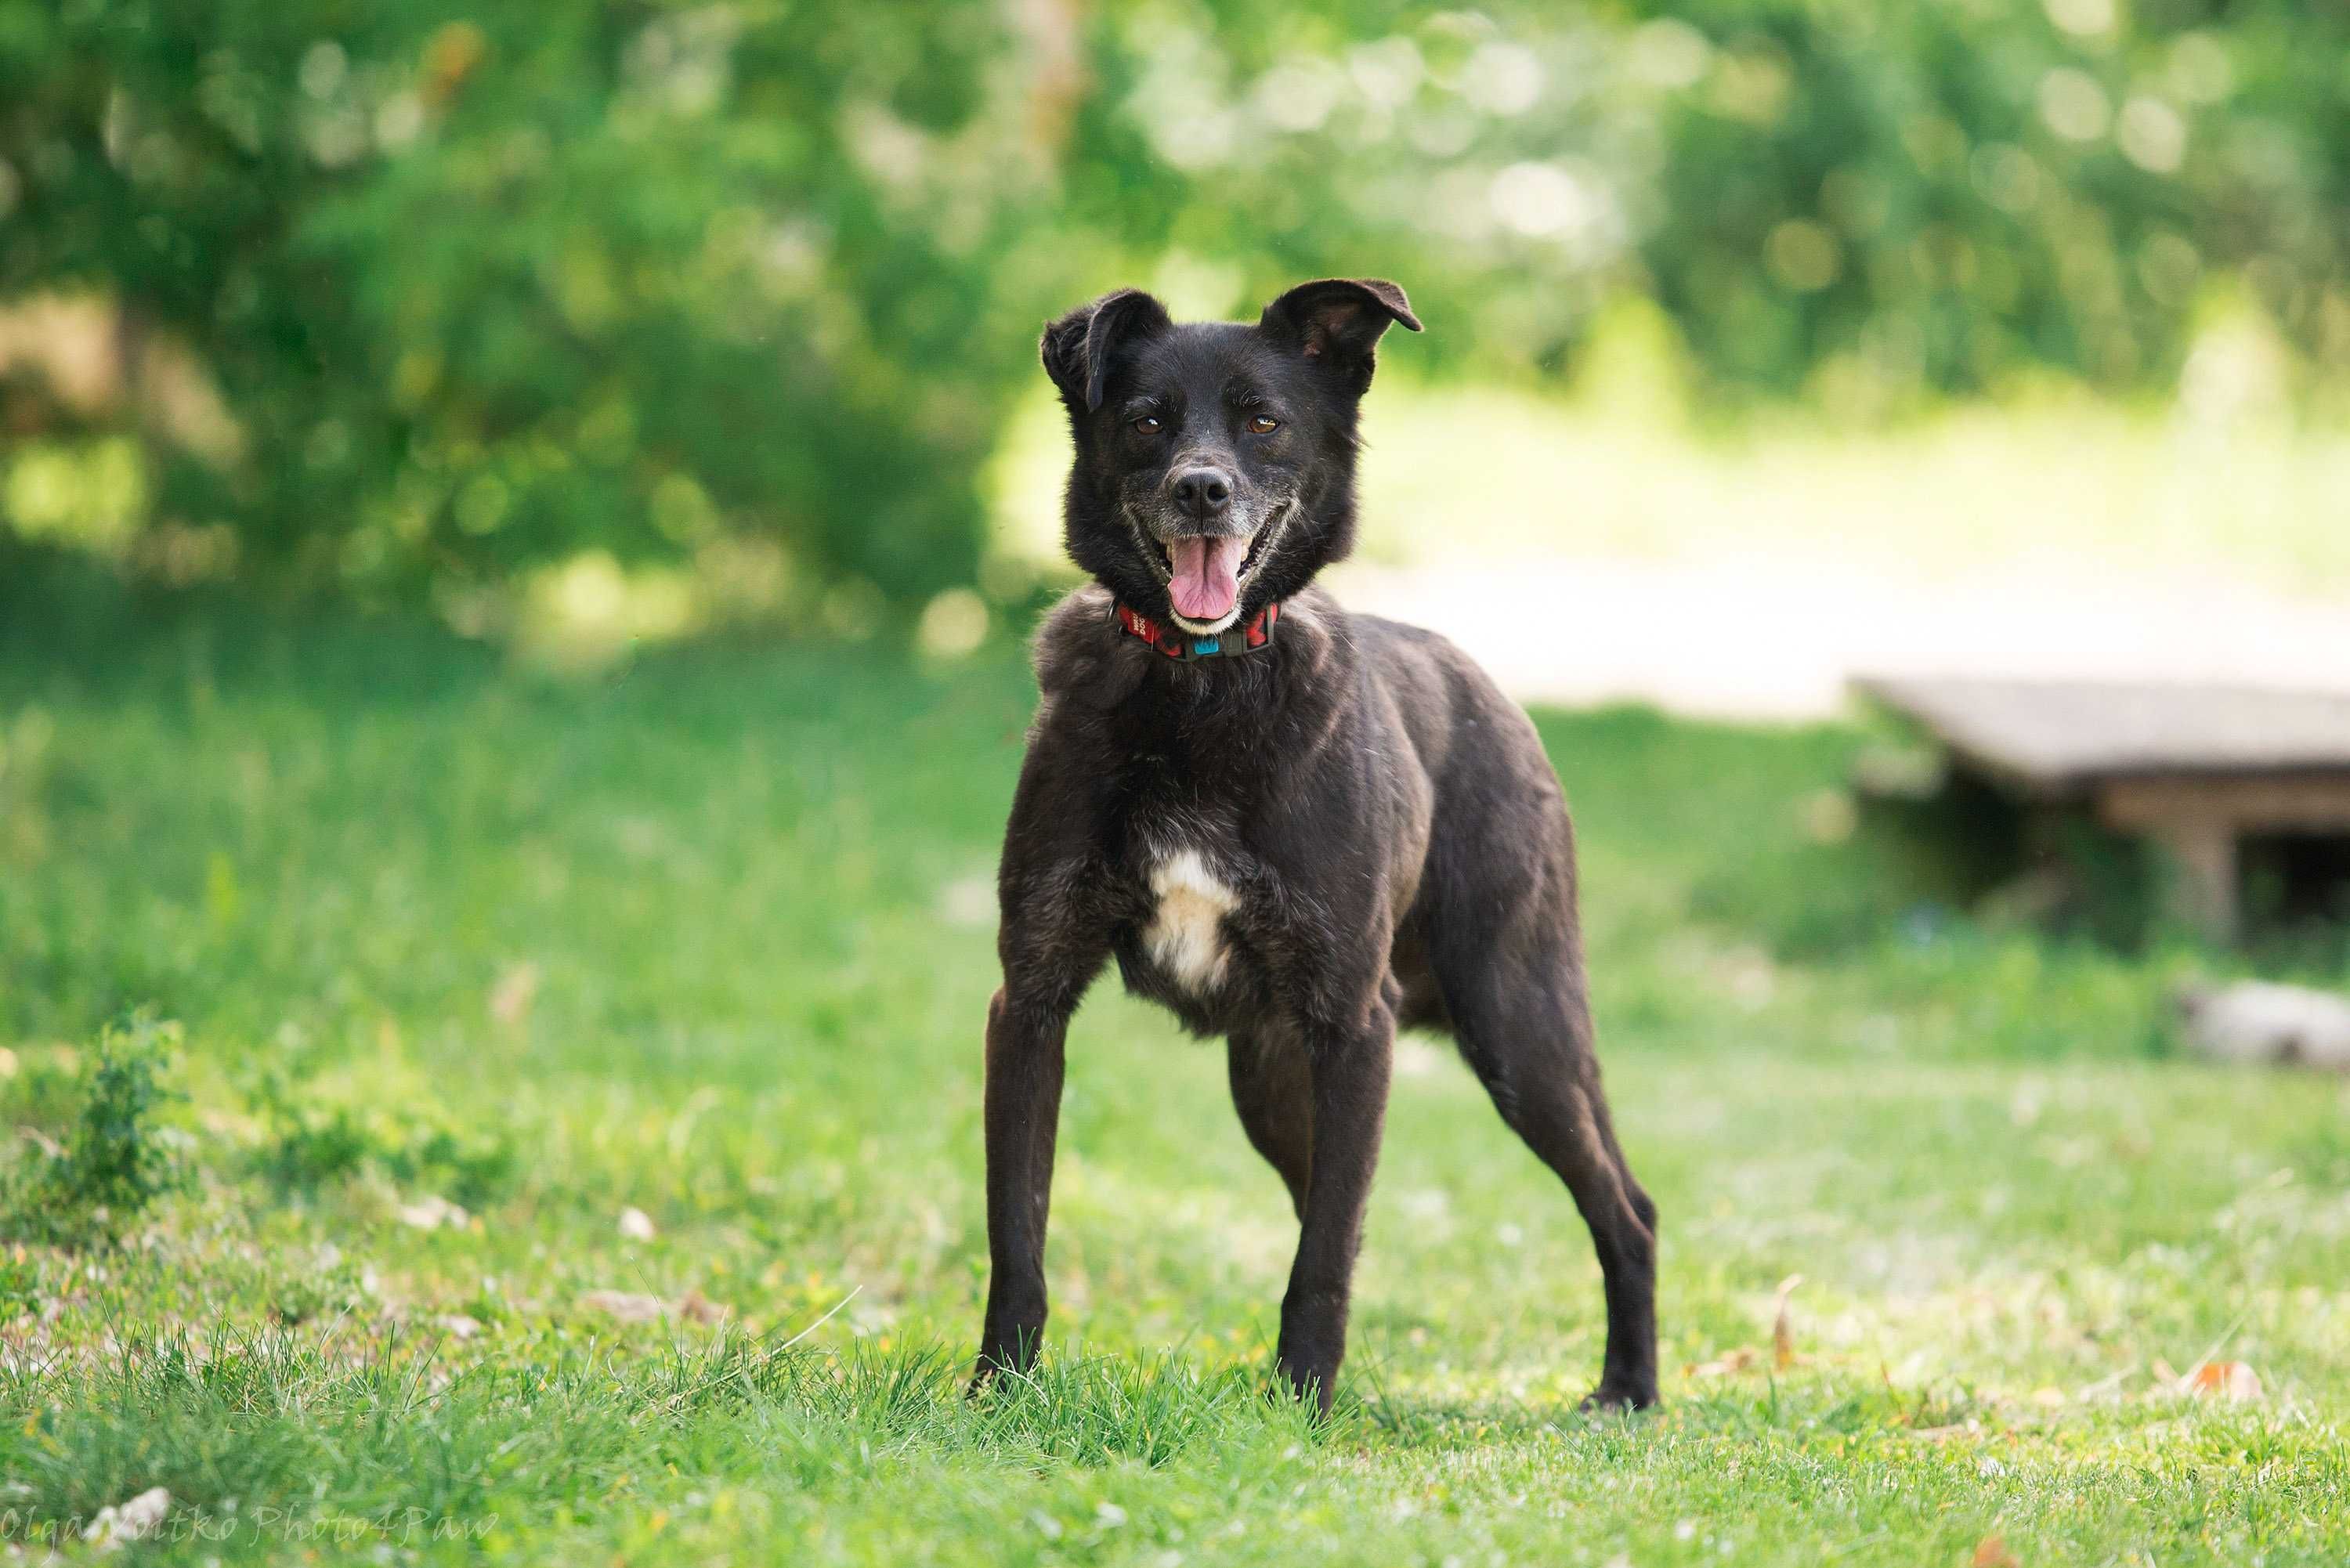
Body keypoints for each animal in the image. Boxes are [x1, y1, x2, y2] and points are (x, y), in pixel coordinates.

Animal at [964, 276, 1664, 1419]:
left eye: (1264, 421)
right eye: (1146, 419)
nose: (1202, 490)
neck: (1200, 680)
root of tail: (1489, 689)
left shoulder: (1353, 1022)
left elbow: (1325, 1251)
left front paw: (1301, 1406)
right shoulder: (1030, 1000)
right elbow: (1017, 1229)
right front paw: (999, 1393)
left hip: (1519, 1026)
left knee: (1624, 1206)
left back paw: (1629, 1391)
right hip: (1276, 1079)